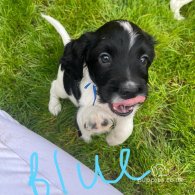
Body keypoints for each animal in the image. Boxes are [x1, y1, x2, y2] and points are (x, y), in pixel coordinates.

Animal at [42, 14, 155, 145]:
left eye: (143, 59)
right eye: (105, 58)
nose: (131, 91)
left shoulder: (128, 112)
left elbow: (125, 129)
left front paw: (112, 139)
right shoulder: (84, 106)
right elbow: (84, 118)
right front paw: (96, 122)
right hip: (64, 88)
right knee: (54, 86)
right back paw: (54, 105)